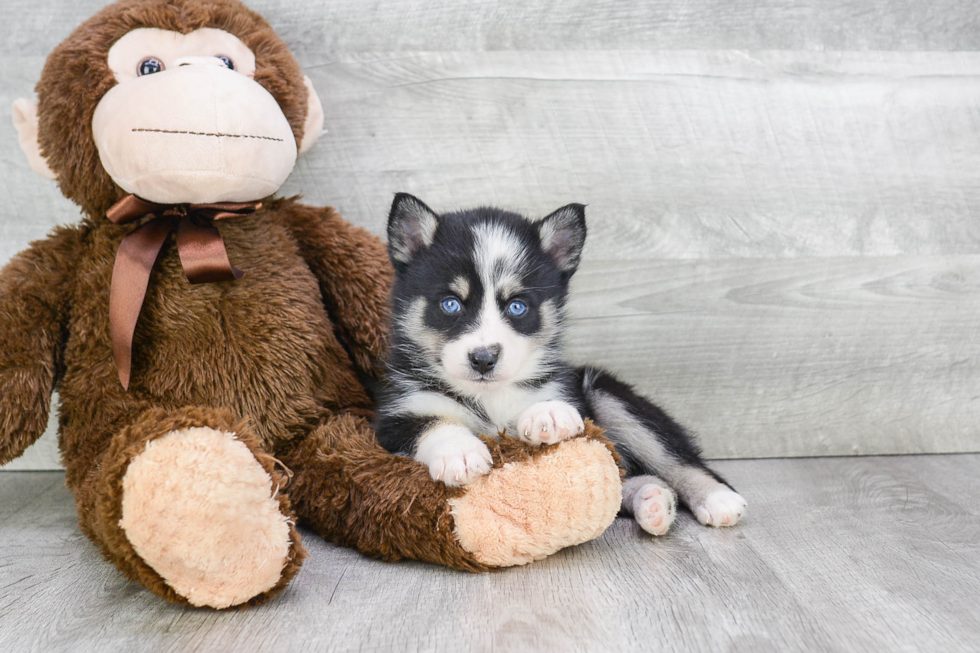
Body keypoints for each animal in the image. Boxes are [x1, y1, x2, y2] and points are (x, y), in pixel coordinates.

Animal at [378, 194, 748, 536]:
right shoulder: (394, 416)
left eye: (517, 307)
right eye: (450, 304)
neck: (490, 398)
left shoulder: (568, 390)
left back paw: (716, 498)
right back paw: (652, 501)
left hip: (608, 394)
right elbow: (432, 422)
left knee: (675, 460)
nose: (484, 359)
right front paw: (460, 451)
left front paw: (548, 414)